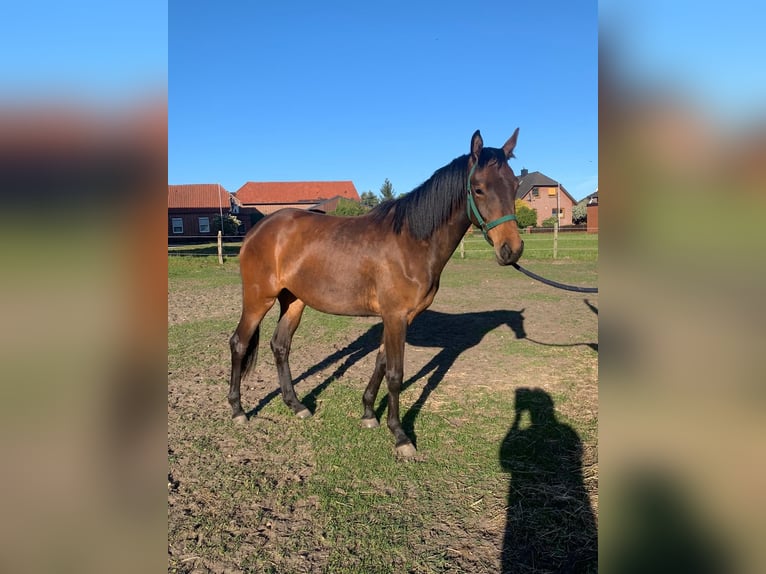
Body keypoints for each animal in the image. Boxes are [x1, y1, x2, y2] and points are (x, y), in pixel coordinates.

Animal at [228, 129, 524, 457]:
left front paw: (369, 413)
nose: (511, 250)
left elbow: (381, 363)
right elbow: (395, 374)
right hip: (259, 298)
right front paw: (400, 435)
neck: (411, 241)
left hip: (294, 301)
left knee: (280, 346)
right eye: (479, 188)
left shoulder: (400, 317)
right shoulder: (396, 316)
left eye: (515, 185)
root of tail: (258, 230)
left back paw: (296, 405)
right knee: (239, 343)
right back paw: (238, 410)